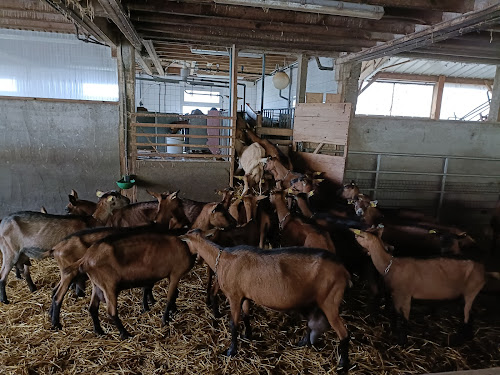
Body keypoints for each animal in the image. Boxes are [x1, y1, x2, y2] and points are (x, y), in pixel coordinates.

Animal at [0, 192, 129, 304]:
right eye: (118, 196)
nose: (128, 200)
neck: (92, 221)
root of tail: (2, 223)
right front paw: (77, 290)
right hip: (10, 250)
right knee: (3, 275)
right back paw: (5, 300)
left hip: (21, 252)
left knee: (23, 270)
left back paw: (32, 288)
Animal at [181, 232, 352, 374]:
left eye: (187, 243)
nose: (192, 260)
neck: (222, 258)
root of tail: (344, 271)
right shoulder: (245, 295)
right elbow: (246, 315)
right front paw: (248, 335)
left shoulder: (234, 296)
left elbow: (233, 324)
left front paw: (231, 351)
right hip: (314, 300)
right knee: (311, 322)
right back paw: (303, 342)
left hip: (330, 301)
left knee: (343, 333)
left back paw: (342, 365)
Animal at [352, 226, 484, 346]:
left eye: (362, 236)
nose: (354, 234)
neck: (390, 264)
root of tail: (482, 270)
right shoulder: (395, 295)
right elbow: (394, 314)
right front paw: (394, 332)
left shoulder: (405, 295)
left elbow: (404, 319)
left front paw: (403, 342)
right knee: (470, 314)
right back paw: (468, 337)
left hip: (471, 291)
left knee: (465, 317)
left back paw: (456, 342)